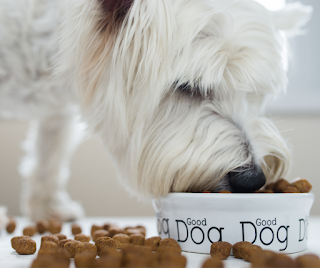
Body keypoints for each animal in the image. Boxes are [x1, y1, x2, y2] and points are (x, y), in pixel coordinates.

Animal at [0, 0, 310, 221]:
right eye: (187, 85)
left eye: (251, 93)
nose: (253, 179)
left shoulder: (59, 111)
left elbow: (49, 154)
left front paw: (47, 206)